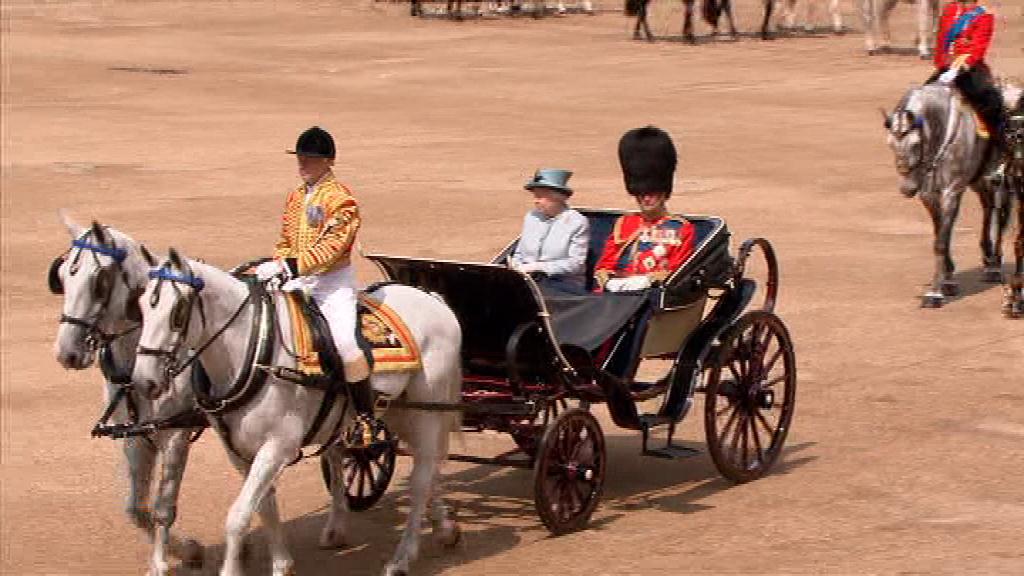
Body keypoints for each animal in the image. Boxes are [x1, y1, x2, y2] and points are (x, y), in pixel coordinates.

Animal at [50, 216, 202, 573]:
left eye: (99, 282)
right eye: (61, 277)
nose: (66, 352)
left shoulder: (175, 436)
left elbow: (163, 508)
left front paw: (161, 563)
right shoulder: (135, 437)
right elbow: (134, 507)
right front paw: (188, 550)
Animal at [133, 248, 464, 573]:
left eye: (177, 312)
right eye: (141, 307)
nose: (143, 382)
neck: (254, 351)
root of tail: (431, 298)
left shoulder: (277, 446)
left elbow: (238, 516)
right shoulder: (240, 452)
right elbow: (264, 507)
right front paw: (282, 564)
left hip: (428, 412)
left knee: (421, 478)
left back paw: (402, 558)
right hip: (397, 410)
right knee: (428, 467)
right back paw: (443, 528)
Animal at [626, 0, 770, 42]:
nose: (714, 23)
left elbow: (688, 10)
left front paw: (687, 34)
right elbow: (689, 10)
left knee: (641, 10)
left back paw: (640, 34)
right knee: (641, 10)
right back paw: (648, 36)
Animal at [880, 83, 1007, 307]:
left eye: (915, 144)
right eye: (890, 145)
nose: (907, 189)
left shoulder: (952, 192)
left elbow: (940, 242)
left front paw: (934, 293)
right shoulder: (929, 195)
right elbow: (942, 235)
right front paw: (948, 281)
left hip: (1000, 178)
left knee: (999, 216)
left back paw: (995, 266)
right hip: (979, 180)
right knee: (987, 206)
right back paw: (988, 257)